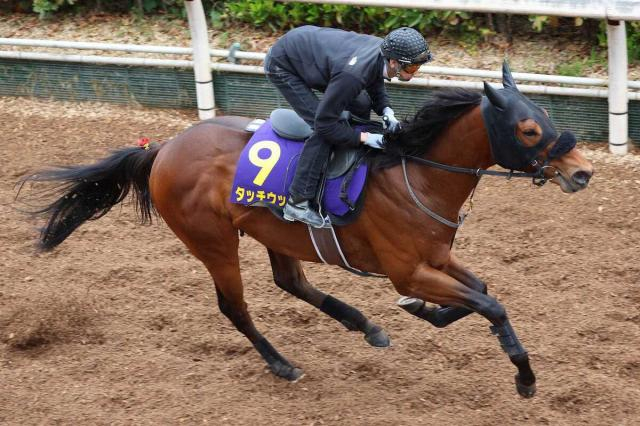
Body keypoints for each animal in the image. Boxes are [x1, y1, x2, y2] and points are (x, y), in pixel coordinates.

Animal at [21, 61, 596, 398]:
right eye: (529, 129)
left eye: (546, 113)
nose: (583, 171)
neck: (416, 174)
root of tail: (163, 148)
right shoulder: (408, 270)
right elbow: (489, 304)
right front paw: (525, 378)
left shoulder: (435, 257)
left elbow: (481, 292)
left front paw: (425, 313)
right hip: (212, 242)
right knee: (235, 307)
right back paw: (283, 365)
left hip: (274, 232)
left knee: (290, 282)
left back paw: (365, 325)